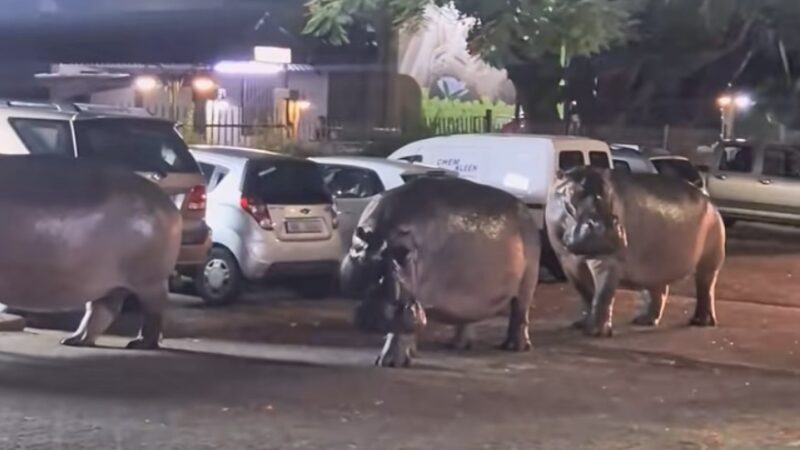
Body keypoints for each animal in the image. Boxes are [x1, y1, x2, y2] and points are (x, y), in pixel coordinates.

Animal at [0, 156, 181, 350]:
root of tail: (168, 203)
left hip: (150, 282)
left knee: (153, 312)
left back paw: (138, 344)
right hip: (109, 284)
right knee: (102, 311)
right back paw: (74, 340)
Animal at [340, 176, 540, 366]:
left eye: (404, 253)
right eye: (359, 254)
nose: (375, 316)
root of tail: (525, 210)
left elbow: (398, 333)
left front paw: (389, 363)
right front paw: (411, 353)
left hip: (527, 282)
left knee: (519, 313)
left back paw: (515, 347)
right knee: (466, 318)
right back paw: (458, 345)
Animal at [544, 167, 724, 336]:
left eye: (609, 195)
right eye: (570, 196)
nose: (607, 226)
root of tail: (710, 201)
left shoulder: (608, 262)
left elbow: (603, 295)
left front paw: (596, 332)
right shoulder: (567, 263)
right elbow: (587, 294)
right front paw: (581, 325)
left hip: (709, 261)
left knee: (705, 288)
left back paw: (701, 322)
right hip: (654, 267)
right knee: (659, 290)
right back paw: (645, 320)